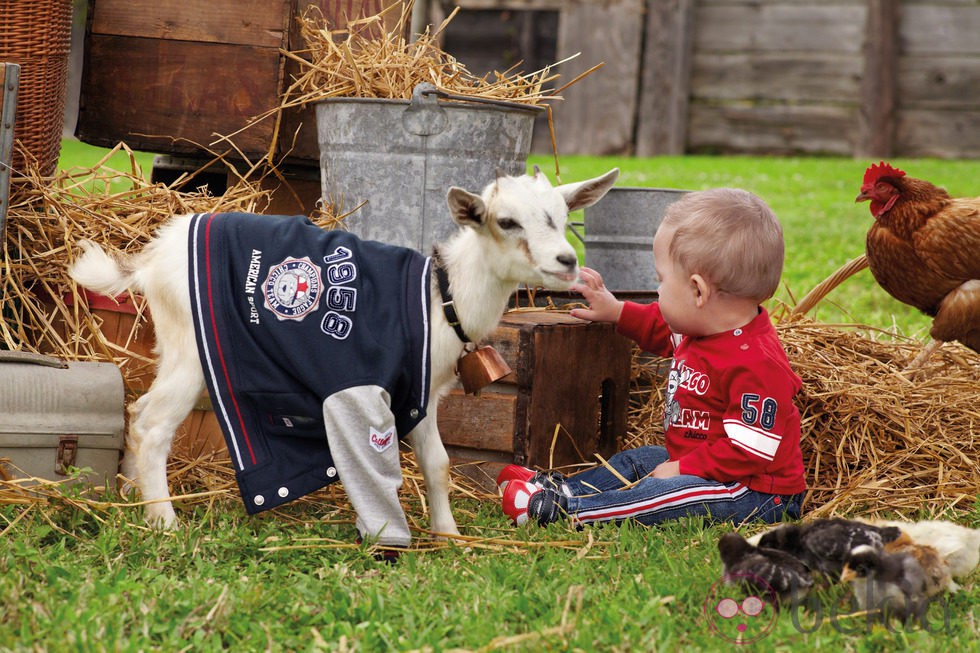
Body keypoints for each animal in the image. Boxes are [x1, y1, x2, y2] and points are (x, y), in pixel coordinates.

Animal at [69, 167, 616, 544]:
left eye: (563, 216)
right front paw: (384, 535)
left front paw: (449, 535)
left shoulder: (421, 393)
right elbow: (373, 461)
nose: (567, 261)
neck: (440, 297)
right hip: (190, 351)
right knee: (152, 424)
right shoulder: (360, 384)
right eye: (506, 221)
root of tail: (151, 259)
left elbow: (438, 463)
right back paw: (164, 521)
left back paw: (130, 497)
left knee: (139, 409)